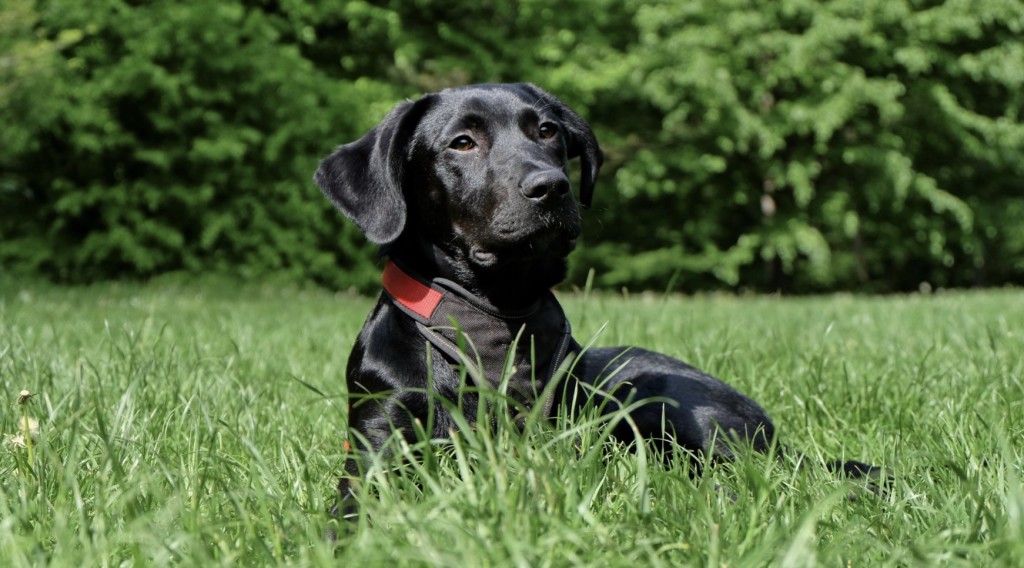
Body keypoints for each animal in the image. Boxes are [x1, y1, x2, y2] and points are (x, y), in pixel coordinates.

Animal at [317, 84, 872, 515]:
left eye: (547, 131)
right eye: (462, 142)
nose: (551, 186)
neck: (493, 318)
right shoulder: (379, 438)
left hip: (663, 401)